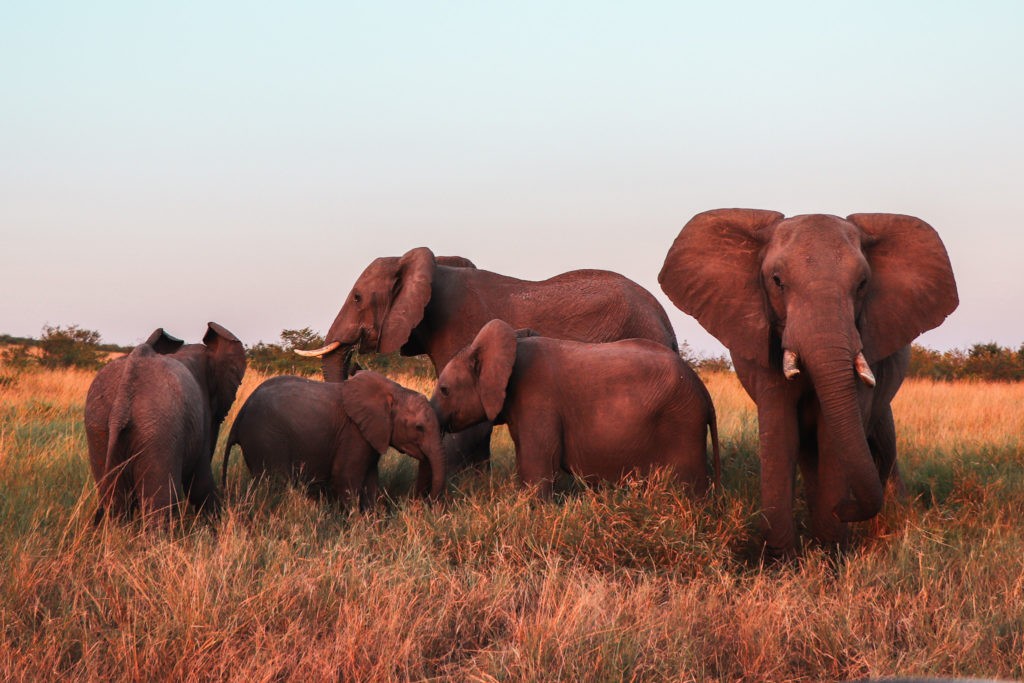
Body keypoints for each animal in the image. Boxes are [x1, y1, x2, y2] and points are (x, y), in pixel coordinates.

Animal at [84, 323, 246, 528]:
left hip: (98, 425)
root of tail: (124, 395)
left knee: (117, 502)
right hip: (158, 429)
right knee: (158, 503)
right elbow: (200, 483)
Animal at [222, 368, 446, 507]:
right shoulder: (354, 431)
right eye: (419, 428)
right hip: (266, 438)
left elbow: (371, 480)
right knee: (274, 483)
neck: (394, 391)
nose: (423, 504)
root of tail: (241, 413)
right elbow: (346, 477)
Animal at [659, 208, 954, 557]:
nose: (844, 508)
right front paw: (782, 560)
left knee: (883, 442)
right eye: (777, 282)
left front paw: (830, 554)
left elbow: (833, 437)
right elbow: (781, 433)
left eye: (862, 284)